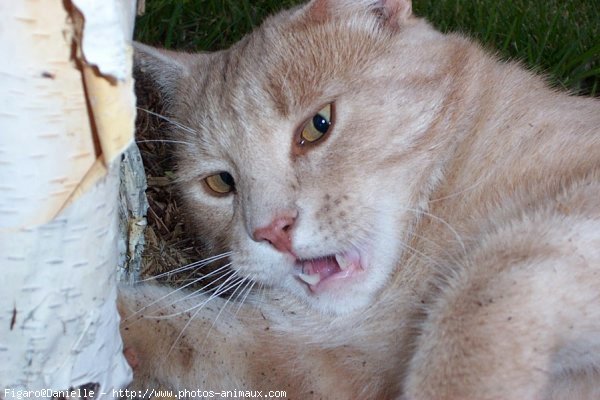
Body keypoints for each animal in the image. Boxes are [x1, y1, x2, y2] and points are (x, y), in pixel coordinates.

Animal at [119, 1, 600, 398]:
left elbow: (484, 292)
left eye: (317, 125)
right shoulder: (323, 362)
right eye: (220, 183)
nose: (272, 230)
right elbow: (181, 333)